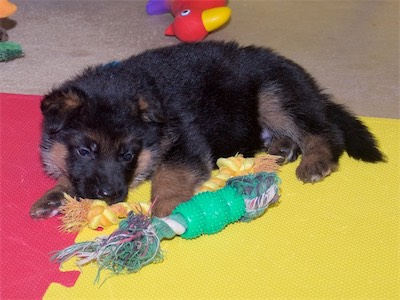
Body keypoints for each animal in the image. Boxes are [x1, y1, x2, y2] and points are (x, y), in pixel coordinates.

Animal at [28, 41, 384, 218]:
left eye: (128, 154)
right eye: (84, 150)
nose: (111, 195)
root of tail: (313, 88)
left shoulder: (185, 139)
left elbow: (169, 174)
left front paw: (163, 208)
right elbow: (71, 174)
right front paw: (55, 194)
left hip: (274, 93)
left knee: (323, 131)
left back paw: (316, 161)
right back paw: (282, 149)